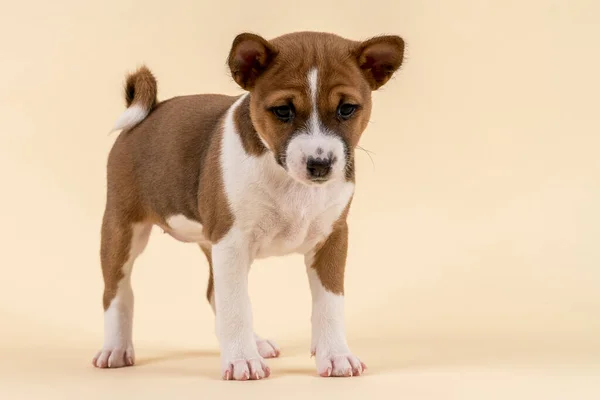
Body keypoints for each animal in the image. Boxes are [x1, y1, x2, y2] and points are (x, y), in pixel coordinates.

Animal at [94, 29, 404, 380]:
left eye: (347, 109)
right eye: (282, 111)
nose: (320, 164)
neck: (289, 181)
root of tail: (149, 111)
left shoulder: (332, 239)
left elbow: (330, 304)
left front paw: (336, 355)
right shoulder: (232, 242)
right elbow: (237, 306)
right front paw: (242, 359)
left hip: (209, 241)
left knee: (213, 292)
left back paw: (255, 343)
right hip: (122, 229)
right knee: (117, 293)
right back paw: (116, 348)